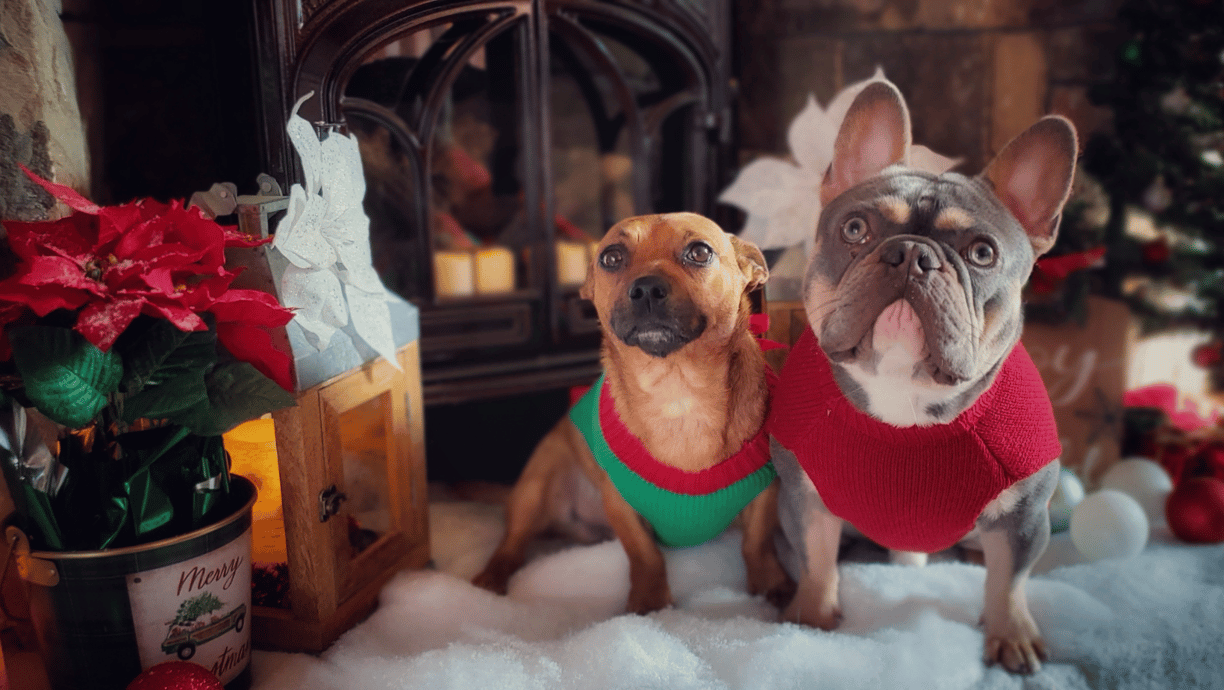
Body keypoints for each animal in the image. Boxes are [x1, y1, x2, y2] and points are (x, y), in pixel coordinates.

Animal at [467, 212, 793, 611]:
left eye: (699, 252)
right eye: (611, 257)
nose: (646, 288)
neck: (677, 392)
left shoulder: (765, 490)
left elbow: (757, 543)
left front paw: (769, 581)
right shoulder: (620, 504)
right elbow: (645, 554)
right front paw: (650, 601)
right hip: (535, 488)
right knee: (511, 545)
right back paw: (492, 576)